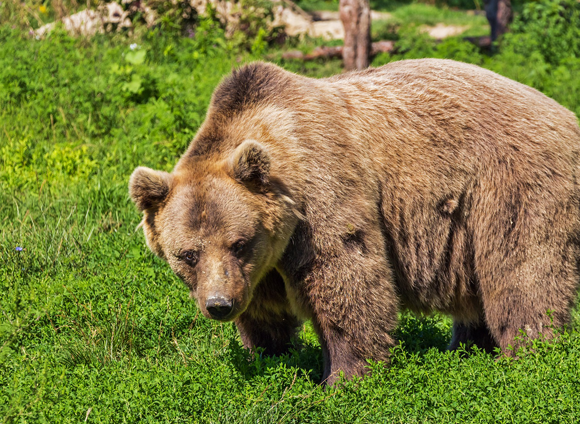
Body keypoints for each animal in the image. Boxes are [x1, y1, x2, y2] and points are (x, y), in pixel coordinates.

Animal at [129, 58, 580, 386]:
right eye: (188, 254)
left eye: (239, 243)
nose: (219, 305)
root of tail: (567, 115)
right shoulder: (262, 266)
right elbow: (265, 312)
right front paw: (267, 357)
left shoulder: (323, 194)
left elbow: (347, 280)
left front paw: (343, 378)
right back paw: (467, 349)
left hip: (512, 186)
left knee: (522, 273)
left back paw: (527, 354)